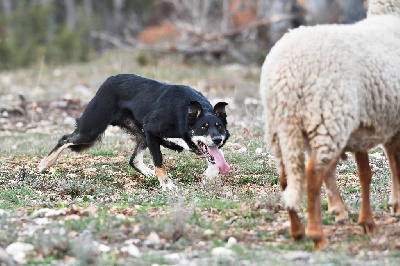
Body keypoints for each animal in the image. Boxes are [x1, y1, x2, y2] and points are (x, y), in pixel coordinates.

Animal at [260, 0, 400, 249]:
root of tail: (286, 77)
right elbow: (395, 163)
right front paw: (394, 207)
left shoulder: (366, 127)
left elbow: (366, 173)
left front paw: (368, 221)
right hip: (328, 119)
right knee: (312, 174)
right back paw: (317, 235)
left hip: (281, 127)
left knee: (287, 178)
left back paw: (297, 230)